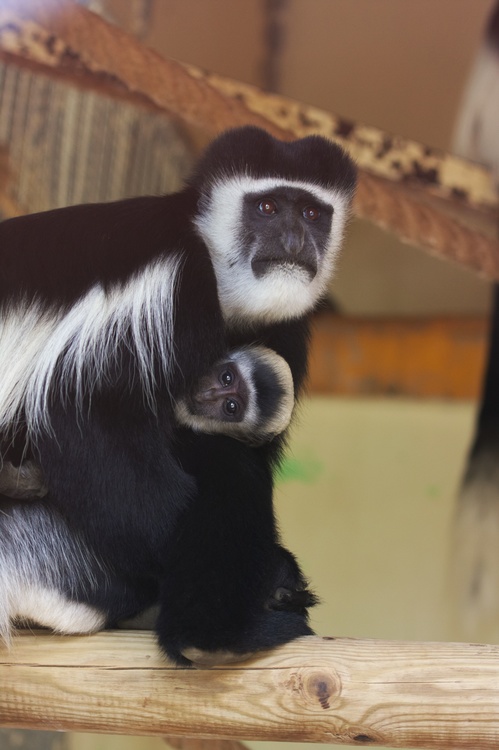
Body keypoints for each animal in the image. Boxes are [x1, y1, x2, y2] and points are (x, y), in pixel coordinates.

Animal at [0, 126, 356, 663]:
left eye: (314, 213)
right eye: (268, 207)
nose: (295, 241)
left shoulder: (287, 331)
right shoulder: (166, 284)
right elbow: (82, 417)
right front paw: (275, 576)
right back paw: (215, 635)